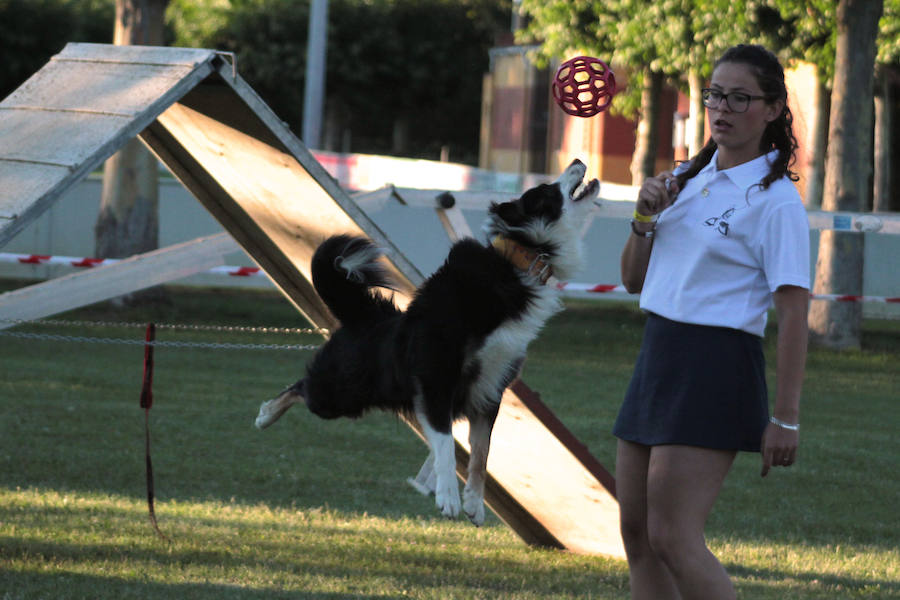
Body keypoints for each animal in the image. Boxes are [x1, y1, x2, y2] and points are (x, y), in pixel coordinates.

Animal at [255, 158, 596, 524]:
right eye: (547, 190)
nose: (577, 161)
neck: (518, 264)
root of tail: (365, 316)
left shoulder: (491, 388)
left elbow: (481, 454)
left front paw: (475, 504)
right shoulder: (437, 377)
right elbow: (446, 444)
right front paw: (448, 498)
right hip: (337, 395)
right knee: (301, 387)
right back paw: (266, 414)